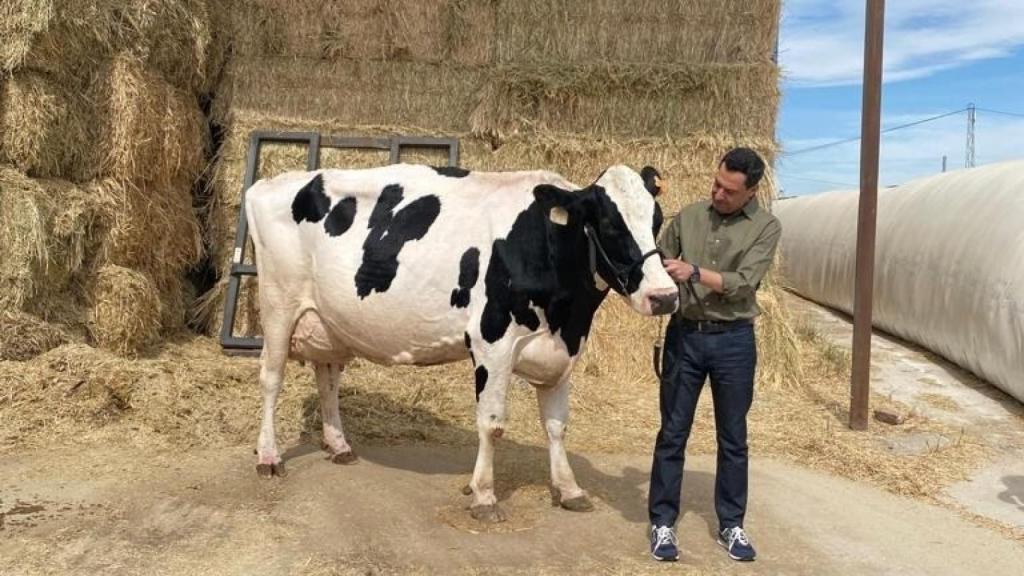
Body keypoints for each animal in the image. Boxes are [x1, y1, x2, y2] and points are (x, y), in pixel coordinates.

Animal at [245, 163, 678, 522]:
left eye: (656, 220)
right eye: (609, 224)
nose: (665, 296)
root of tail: (268, 183)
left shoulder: (561, 351)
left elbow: (557, 426)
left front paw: (569, 489)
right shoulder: (492, 343)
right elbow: (492, 424)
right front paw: (483, 495)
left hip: (330, 320)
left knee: (328, 378)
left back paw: (339, 446)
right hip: (279, 305)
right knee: (270, 379)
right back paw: (268, 456)